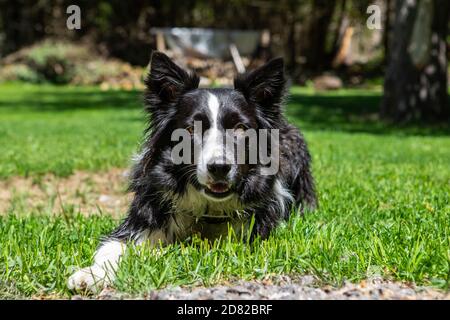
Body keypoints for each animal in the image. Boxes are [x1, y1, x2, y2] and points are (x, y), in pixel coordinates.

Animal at [69, 52, 316, 292]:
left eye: (240, 128)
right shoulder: (140, 222)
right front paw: (91, 275)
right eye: (190, 129)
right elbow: (111, 248)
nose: (219, 167)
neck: (209, 210)